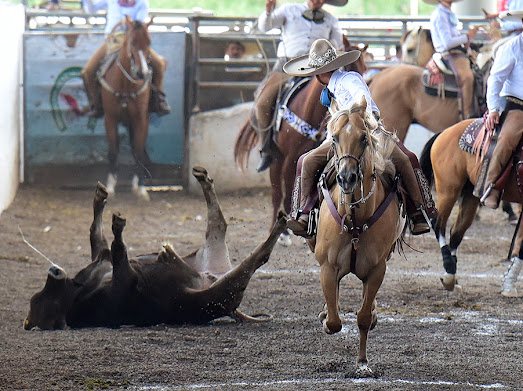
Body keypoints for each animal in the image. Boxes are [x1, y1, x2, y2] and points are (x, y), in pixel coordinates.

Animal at [99, 16, 154, 201]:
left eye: (149, 42)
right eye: (132, 42)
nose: (142, 73)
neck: (125, 85)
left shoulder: (141, 120)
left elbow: (138, 151)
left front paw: (142, 189)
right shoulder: (110, 119)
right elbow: (113, 152)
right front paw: (110, 187)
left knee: (138, 150)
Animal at [234, 36, 368, 245]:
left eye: (364, 68)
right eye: (347, 68)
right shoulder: (291, 157)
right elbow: (289, 188)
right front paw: (286, 231)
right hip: (277, 157)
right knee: (276, 191)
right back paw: (278, 230)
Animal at [312, 99, 406, 378]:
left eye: (364, 138)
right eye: (333, 138)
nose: (346, 177)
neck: (355, 218)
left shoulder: (376, 269)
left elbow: (363, 317)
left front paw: (362, 362)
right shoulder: (328, 267)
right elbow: (334, 321)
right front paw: (325, 318)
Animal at [420, 121, 523, 292]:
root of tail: (445, 132)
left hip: (470, 196)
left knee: (456, 232)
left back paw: (453, 277)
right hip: (449, 190)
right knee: (438, 225)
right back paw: (449, 272)